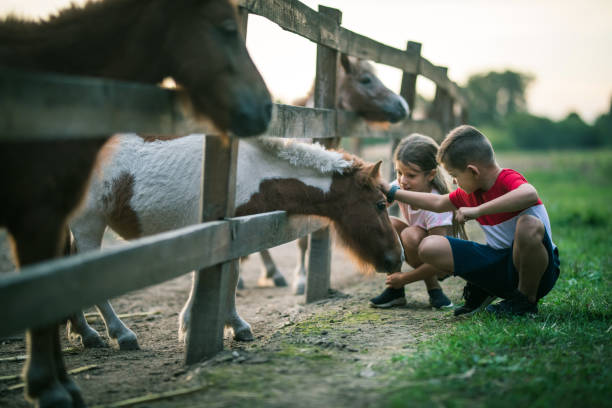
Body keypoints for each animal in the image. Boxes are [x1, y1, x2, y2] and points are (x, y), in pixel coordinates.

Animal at [67, 135, 404, 350]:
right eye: (380, 205)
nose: (397, 258)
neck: (254, 173)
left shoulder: (235, 236)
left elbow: (228, 278)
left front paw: (230, 325)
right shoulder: (224, 234)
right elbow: (224, 278)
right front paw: (200, 326)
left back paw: (86, 333)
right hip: (87, 225)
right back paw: (122, 334)